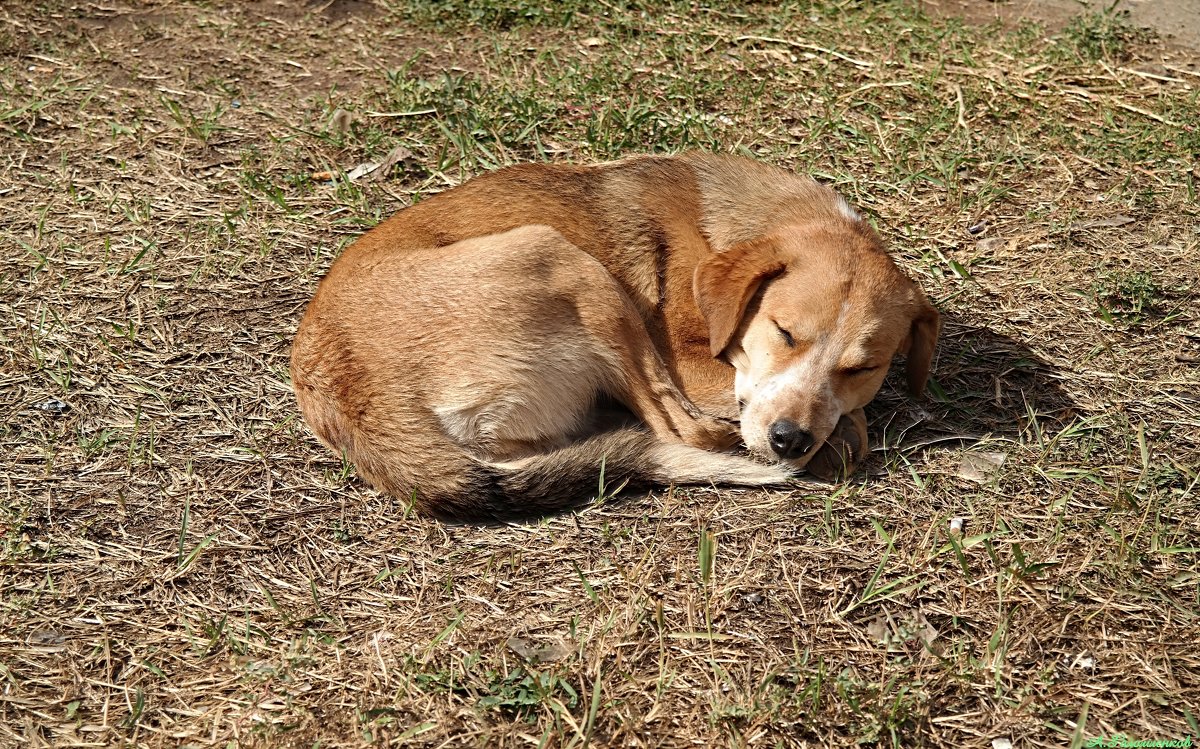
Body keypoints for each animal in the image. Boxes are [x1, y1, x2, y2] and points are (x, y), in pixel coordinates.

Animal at [288, 154, 936, 518]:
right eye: (784, 332)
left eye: (863, 367)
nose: (789, 440)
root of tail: (353, 400)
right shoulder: (692, 364)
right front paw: (838, 438)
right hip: (569, 264)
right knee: (682, 429)